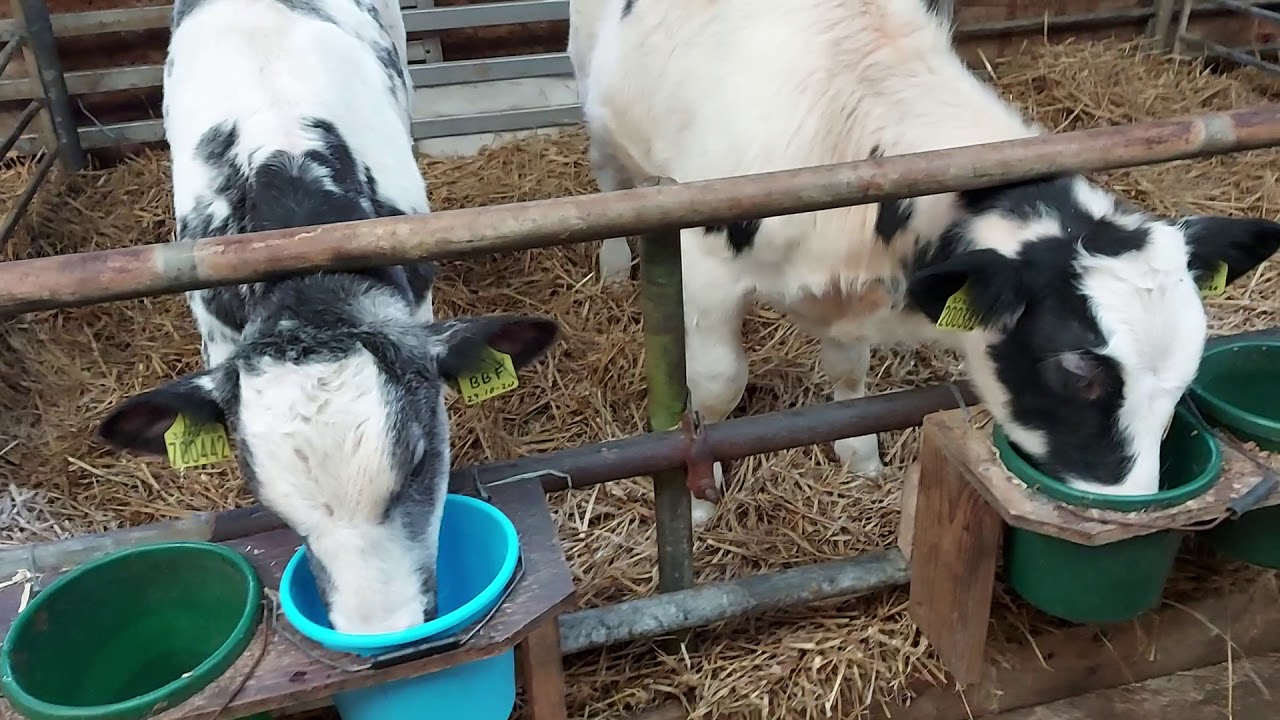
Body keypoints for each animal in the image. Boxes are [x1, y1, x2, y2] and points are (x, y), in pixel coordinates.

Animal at [569, 0, 1280, 528]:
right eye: (1075, 372)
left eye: (1187, 375)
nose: (1133, 511)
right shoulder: (707, 263)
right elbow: (716, 387)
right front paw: (696, 500)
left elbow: (849, 373)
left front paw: (859, 456)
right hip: (596, 103)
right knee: (607, 179)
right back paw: (614, 263)